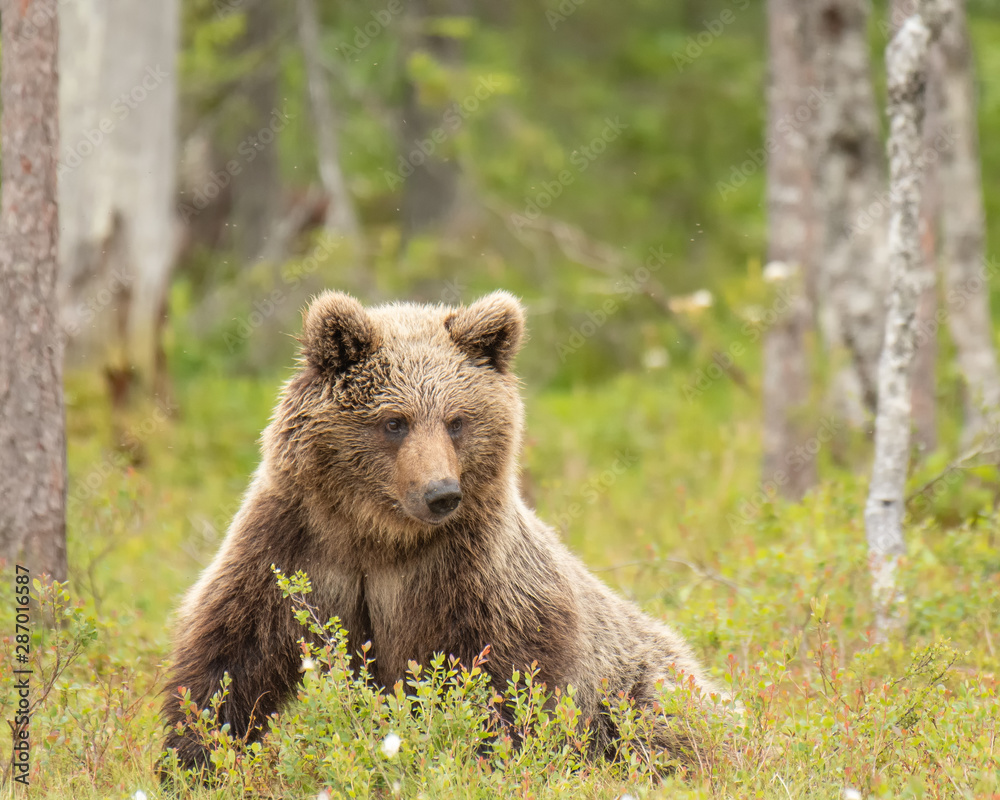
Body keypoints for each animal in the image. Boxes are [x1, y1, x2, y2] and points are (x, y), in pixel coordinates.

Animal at [161, 290, 724, 774]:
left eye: (457, 420)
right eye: (395, 421)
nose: (441, 493)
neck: (379, 535)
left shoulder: (473, 575)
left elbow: (505, 680)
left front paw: (489, 756)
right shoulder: (293, 549)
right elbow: (230, 658)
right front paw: (192, 759)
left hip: (647, 683)